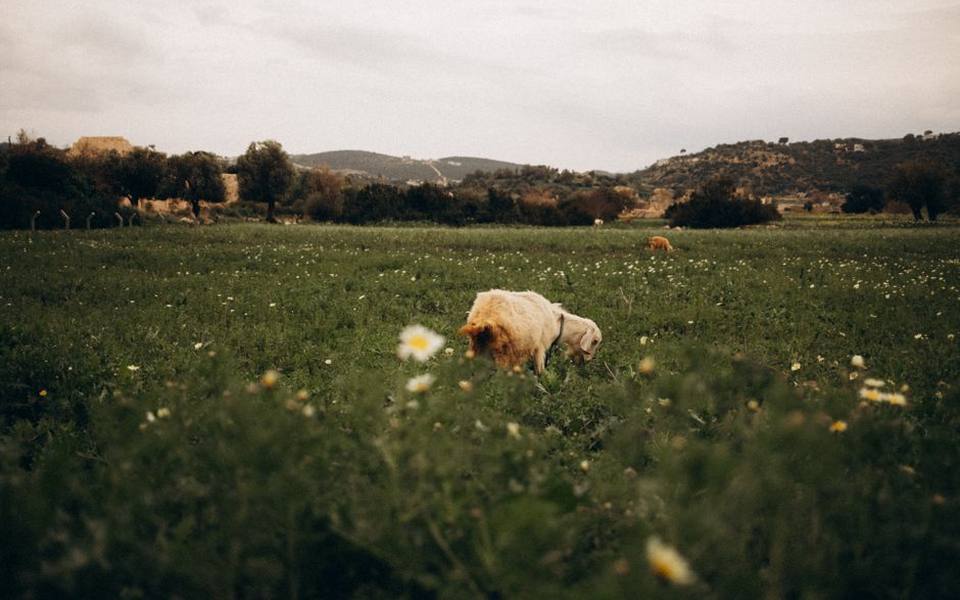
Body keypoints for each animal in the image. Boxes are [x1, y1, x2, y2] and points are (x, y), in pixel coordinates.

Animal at [459, 290, 602, 373]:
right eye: (595, 341)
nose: (587, 361)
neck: (557, 323)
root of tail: (487, 316)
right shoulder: (540, 347)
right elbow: (540, 369)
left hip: (476, 346)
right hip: (502, 352)